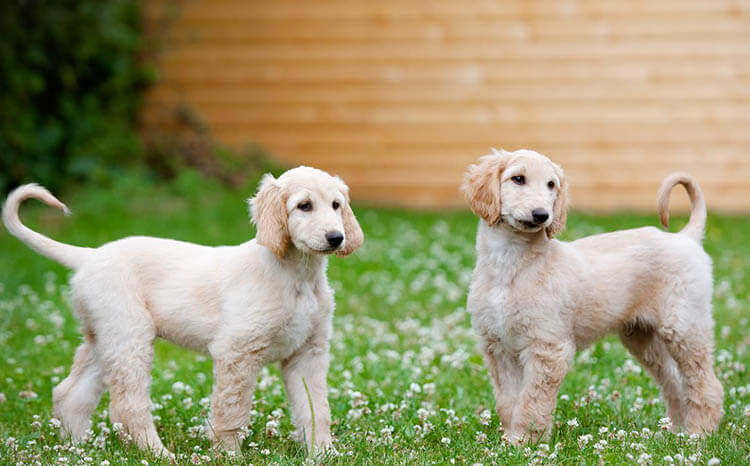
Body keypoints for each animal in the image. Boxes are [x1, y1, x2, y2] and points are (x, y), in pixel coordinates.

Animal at [0, 167, 364, 456]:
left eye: (336, 205)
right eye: (304, 206)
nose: (336, 237)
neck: (297, 276)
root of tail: (89, 256)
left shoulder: (308, 354)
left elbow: (315, 410)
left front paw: (322, 453)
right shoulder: (237, 352)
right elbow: (231, 411)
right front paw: (227, 454)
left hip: (105, 339)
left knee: (70, 393)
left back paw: (75, 448)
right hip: (130, 336)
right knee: (127, 406)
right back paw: (158, 453)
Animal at [462, 148, 724, 444]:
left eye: (551, 185)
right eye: (518, 179)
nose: (542, 215)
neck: (512, 264)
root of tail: (686, 238)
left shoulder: (548, 347)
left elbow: (531, 401)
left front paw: (526, 441)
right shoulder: (498, 347)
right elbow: (508, 401)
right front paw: (509, 441)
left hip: (684, 326)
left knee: (706, 383)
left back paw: (699, 432)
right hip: (644, 338)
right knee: (675, 382)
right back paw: (676, 431)